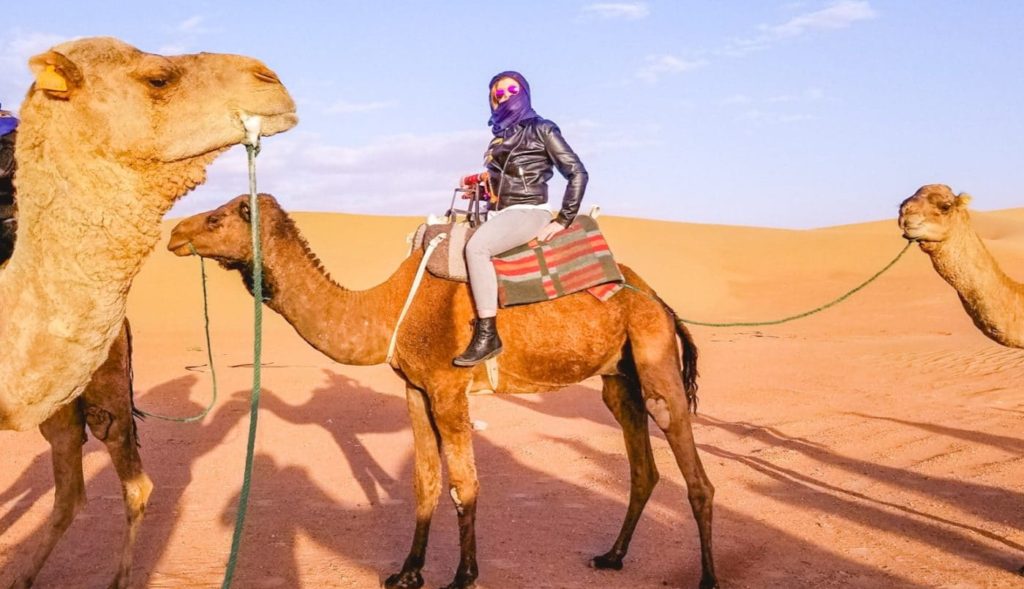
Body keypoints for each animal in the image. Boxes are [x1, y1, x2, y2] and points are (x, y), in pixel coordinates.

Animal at [167, 194, 716, 589]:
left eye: (215, 218)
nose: (174, 233)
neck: (389, 309)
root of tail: (659, 300)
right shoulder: (416, 389)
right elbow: (425, 482)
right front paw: (407, 572)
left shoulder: (449, 389)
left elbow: (464, 484)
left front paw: (463, 576)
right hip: (619, 379)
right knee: (643, 469)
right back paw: (612, 556)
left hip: (654, 356)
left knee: (695, 475)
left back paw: (708, 577)